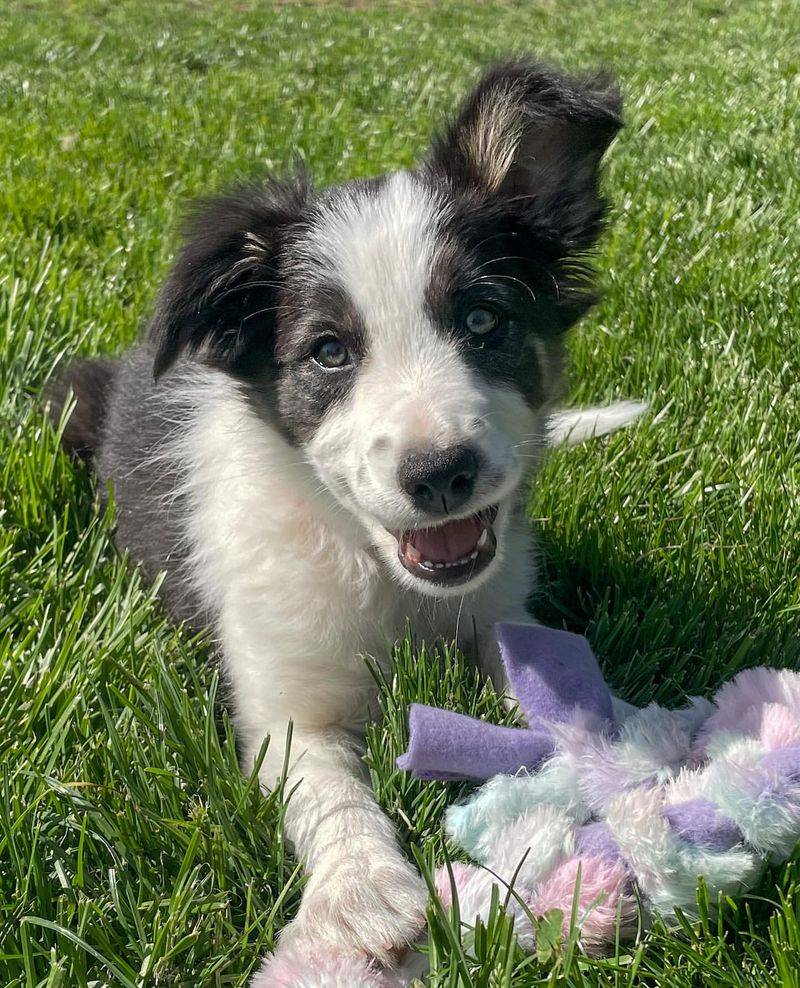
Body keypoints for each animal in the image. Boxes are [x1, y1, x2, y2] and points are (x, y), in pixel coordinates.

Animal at [51, 59, 644, 964]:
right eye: (329, 352)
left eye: (483, 318)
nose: (441, 475)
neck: (384, 575)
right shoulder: (285, 695)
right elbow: (326, 788)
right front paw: (361, 897)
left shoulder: (499, 608)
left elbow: (549, 691)